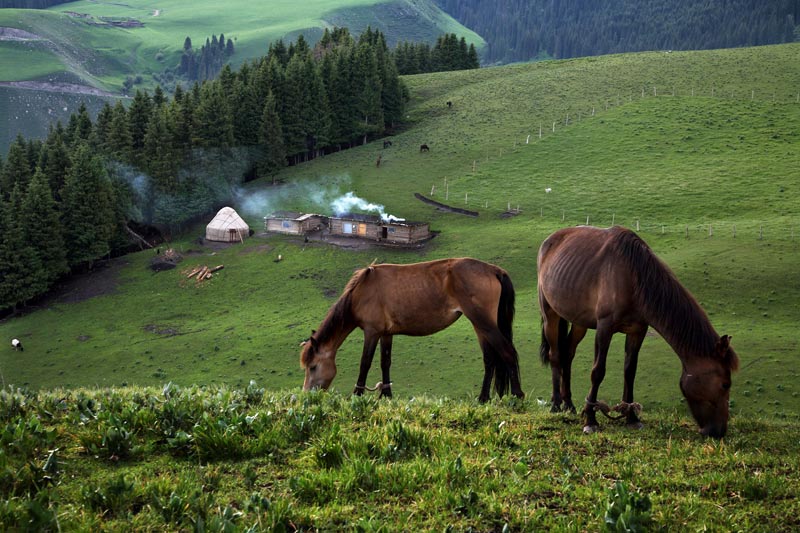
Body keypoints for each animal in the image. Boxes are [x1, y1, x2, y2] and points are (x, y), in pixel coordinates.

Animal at [300, 256, 524, 400]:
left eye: (313, 367)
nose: (307, 396)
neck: (361, 293)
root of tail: (495, 270)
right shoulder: (386, 334)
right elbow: (385, 362)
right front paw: (386, 395)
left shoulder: (372, 332)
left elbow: (365, 363)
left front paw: (357, 394)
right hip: (480, 325)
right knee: (490, 359)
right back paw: (483, 398)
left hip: (483, 323)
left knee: (507, 352)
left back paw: (517, 395)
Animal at [536, 224, 736, 436]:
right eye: (725, 384)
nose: (718, 431)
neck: (633, 277)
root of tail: (549, 241)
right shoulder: (604, 328)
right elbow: (598, 372)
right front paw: (590, 419)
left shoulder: (637, 331)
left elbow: (630, 372)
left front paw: (631, 417)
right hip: (550, 314)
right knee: (555, 355)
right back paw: (556, 404)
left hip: (579, 322)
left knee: (568, 354)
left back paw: (569, 404)